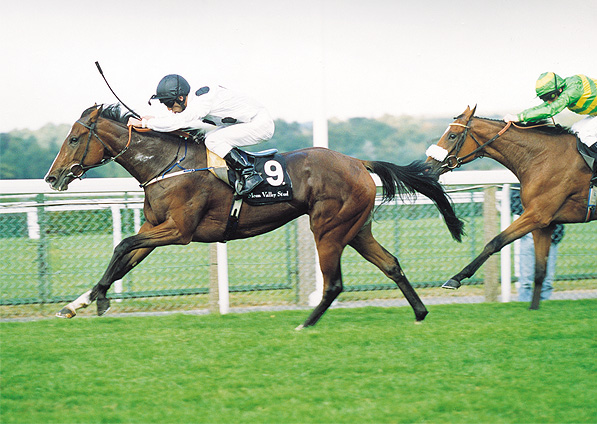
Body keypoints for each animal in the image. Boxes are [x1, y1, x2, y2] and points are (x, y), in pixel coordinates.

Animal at [46, 104, 466, 330]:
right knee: (391, 264)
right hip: (357, 228)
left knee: (333, 283)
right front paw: (79, 303)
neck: (168, 165)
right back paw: (419, 312)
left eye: (73, 139)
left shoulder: (178, 230)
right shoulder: (155, 226)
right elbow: (124, 257)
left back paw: (306, 323)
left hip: (327, 228)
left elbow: (122, 245)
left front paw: (98, 300)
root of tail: (357, 161)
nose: (52, 178)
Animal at [424, 104, 596, 310]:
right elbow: (539, 270)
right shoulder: (545, 224)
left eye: (452, 135)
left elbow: (495, 242)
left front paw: (455, 279)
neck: (541, 158)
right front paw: (534, 308)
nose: (426, 168)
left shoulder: (536, 215)